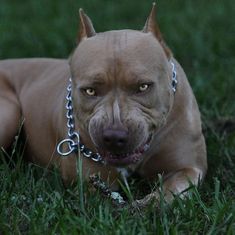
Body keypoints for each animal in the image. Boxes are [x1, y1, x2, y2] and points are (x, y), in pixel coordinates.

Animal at [0, 3, 206, 206]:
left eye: (143, 87)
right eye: (90, 90)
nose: (114, 136)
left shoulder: (188, 168)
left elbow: (168, 194)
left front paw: (145, 205)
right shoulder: (90, 182)